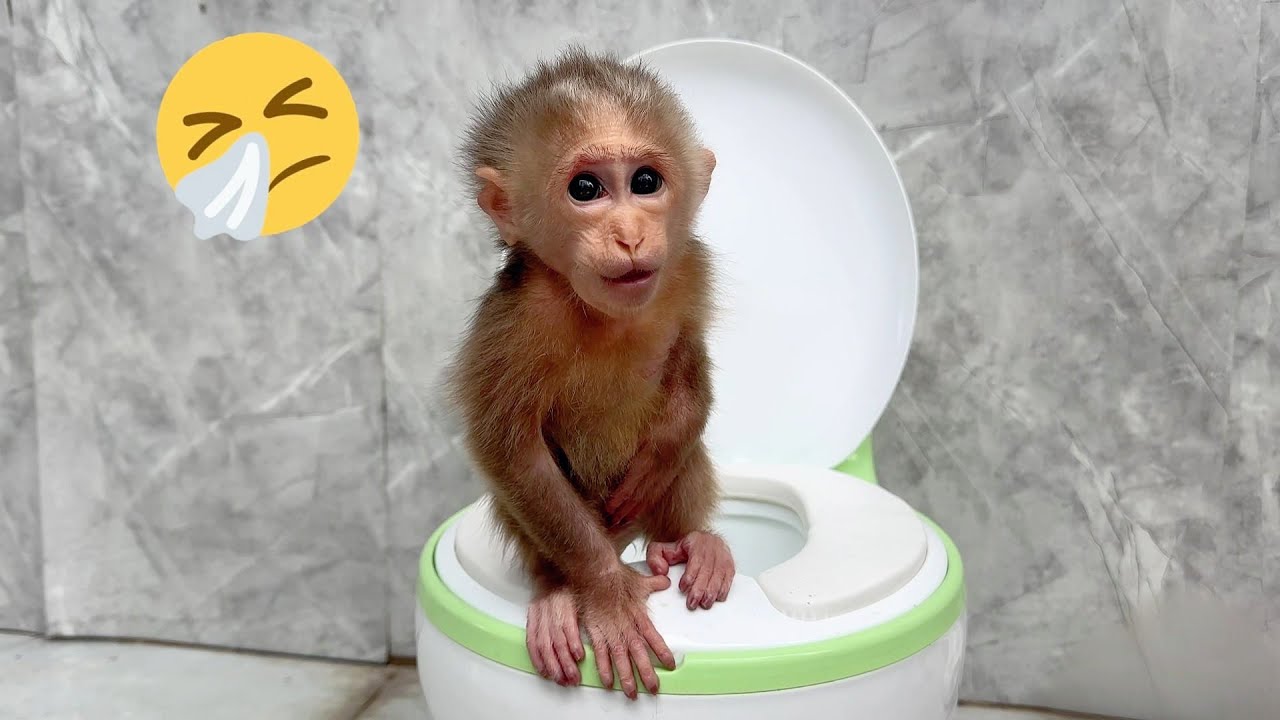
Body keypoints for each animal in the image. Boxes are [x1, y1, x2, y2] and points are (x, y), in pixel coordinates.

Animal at [446, 47, 735, 701]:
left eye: (646, 182)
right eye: (586, 189)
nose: (629, 236)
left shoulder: (686, 268)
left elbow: (689, 365)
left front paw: (663, 450)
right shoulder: (520, 319)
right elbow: (510, 451)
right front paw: (607, 594)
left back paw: (692, 546)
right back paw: (558, 593)